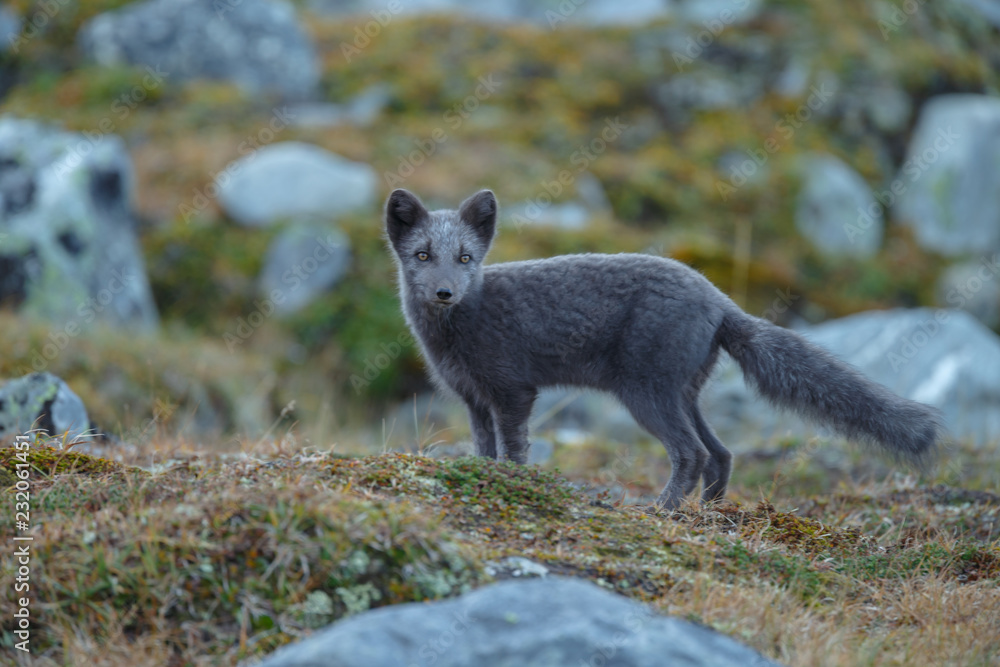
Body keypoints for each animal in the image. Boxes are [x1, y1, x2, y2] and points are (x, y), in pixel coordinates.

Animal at [384, 188, 942, 510]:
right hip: (681, 393)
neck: (456, 329)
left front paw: (515, 488)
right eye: (422, 255)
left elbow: (514, 452)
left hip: (645, 394)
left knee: (693, 453)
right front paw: (484, 478)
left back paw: (662, 512)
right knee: (721, 453)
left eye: (465, 258)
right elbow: (485, 450)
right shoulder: (475, 399)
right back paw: (708, 515)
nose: (445, 292)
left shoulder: (513, 392)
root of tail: (719, 298)